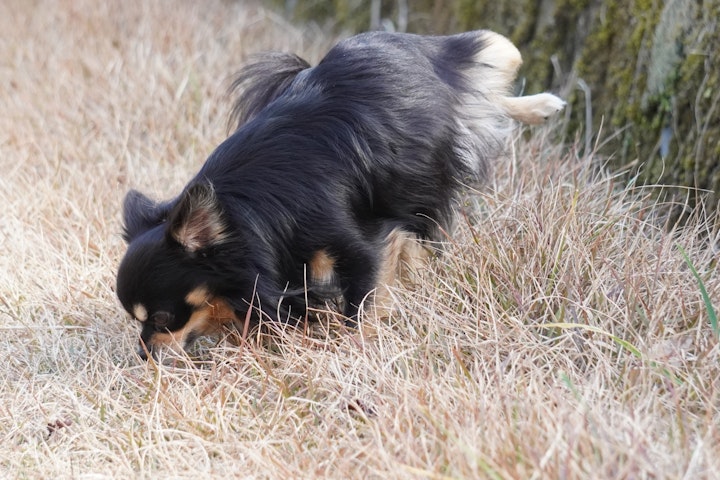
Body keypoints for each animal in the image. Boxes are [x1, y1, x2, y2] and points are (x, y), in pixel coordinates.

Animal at [116, 29, 568, 356]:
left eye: (161, 318)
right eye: (139, 322)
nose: (143, 354)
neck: (242, 213)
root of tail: (397, 42)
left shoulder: (359, 247)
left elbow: (360, 306)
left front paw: (354, 350)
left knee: (495, 57)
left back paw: (543, 105)